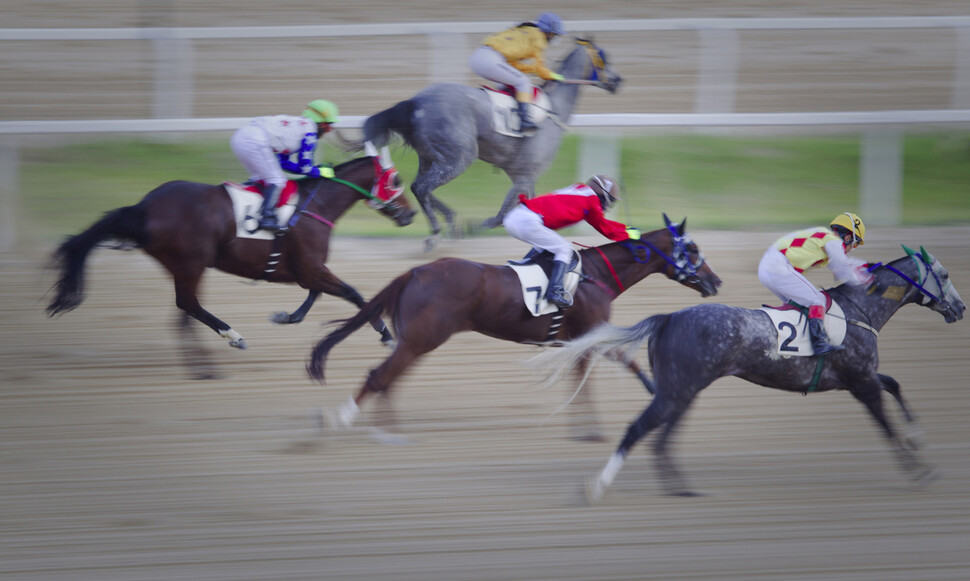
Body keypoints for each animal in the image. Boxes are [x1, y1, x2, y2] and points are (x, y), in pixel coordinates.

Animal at [44, 156, 412, 378]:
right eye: (396, 179)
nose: (409, 214)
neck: (316, 205)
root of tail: (144, 208)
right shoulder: (311, 267)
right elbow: (353, 293)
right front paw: (386, 335)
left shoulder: (307, 269)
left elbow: (316, 295)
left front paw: (286, 317)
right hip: (192, 263)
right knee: (188, 304)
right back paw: (228, 342)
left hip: (184, 266)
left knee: (183, 312)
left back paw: (203, 364)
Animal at [306, 214, 724, 440]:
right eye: (692, 250)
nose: (715, 280)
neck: (597, 275)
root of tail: (414, 272)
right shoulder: (589, 331)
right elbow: (599, 369)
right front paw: (595, 427)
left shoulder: (583, 337)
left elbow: (610, 364)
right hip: (422, 339)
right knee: (380, 377)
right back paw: (346, 420)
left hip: (414, 340)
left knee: (388, 379)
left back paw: (387, 430)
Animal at [348, 37, 620, 250]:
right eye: (604, 57)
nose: (618, 80)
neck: (553, 108)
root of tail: (416, 102)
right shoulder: (523, 176)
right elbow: (500, 217)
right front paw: (467, 230)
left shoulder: (525, 178)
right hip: (458, 158)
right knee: (422, 187)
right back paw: (436, 233)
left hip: (430, 157)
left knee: (418, 187)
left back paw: (448, 218)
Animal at [532, 245, 964, 498]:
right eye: (944, 276)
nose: (960, 308)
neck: (859, 311)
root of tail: (668, 317)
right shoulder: (860, 383)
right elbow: (885, 422)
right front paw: (919, 469)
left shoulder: (858, 378)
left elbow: (895, 384)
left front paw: (918, 438)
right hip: (677, 391)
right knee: (639, 430)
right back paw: (598, 486)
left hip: (682, 390)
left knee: (661, 438)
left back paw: (679, 487)